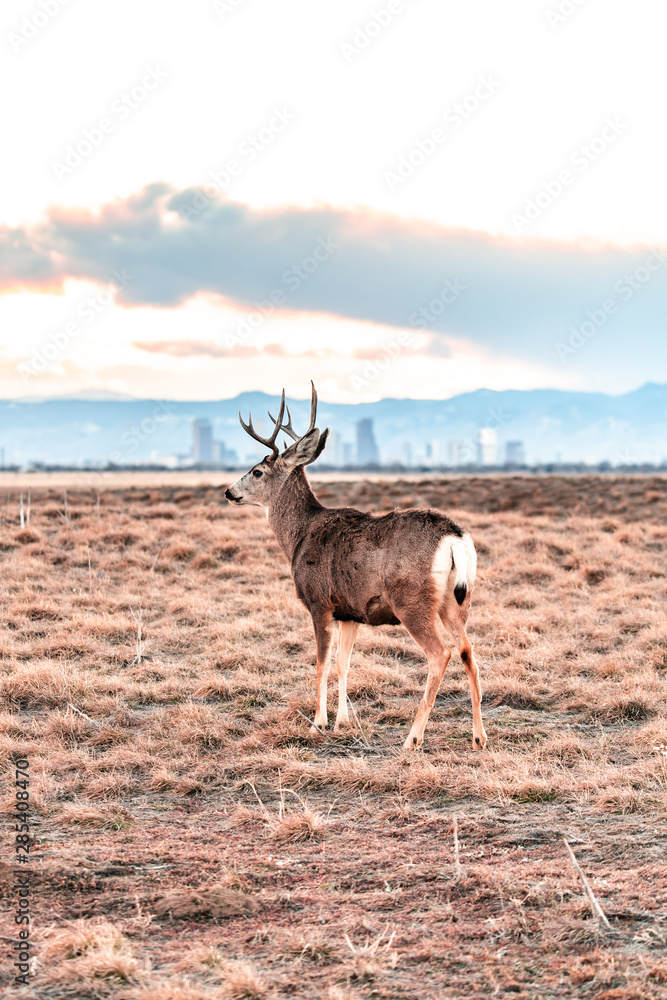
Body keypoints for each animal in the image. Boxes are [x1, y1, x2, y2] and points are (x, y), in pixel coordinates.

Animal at [225, 382, 487, 751]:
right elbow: (343, 664)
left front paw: (318, 724)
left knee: (441, 653)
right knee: (467, 649)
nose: (228, 492)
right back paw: (479, 737)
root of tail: (454, 537)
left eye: (257, 471)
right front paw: (341, 721)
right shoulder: (349, 612)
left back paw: (413, 738)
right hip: (457, 600)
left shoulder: (319, 601)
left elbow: (321, 663)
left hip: (412, 600)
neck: (299, 534)